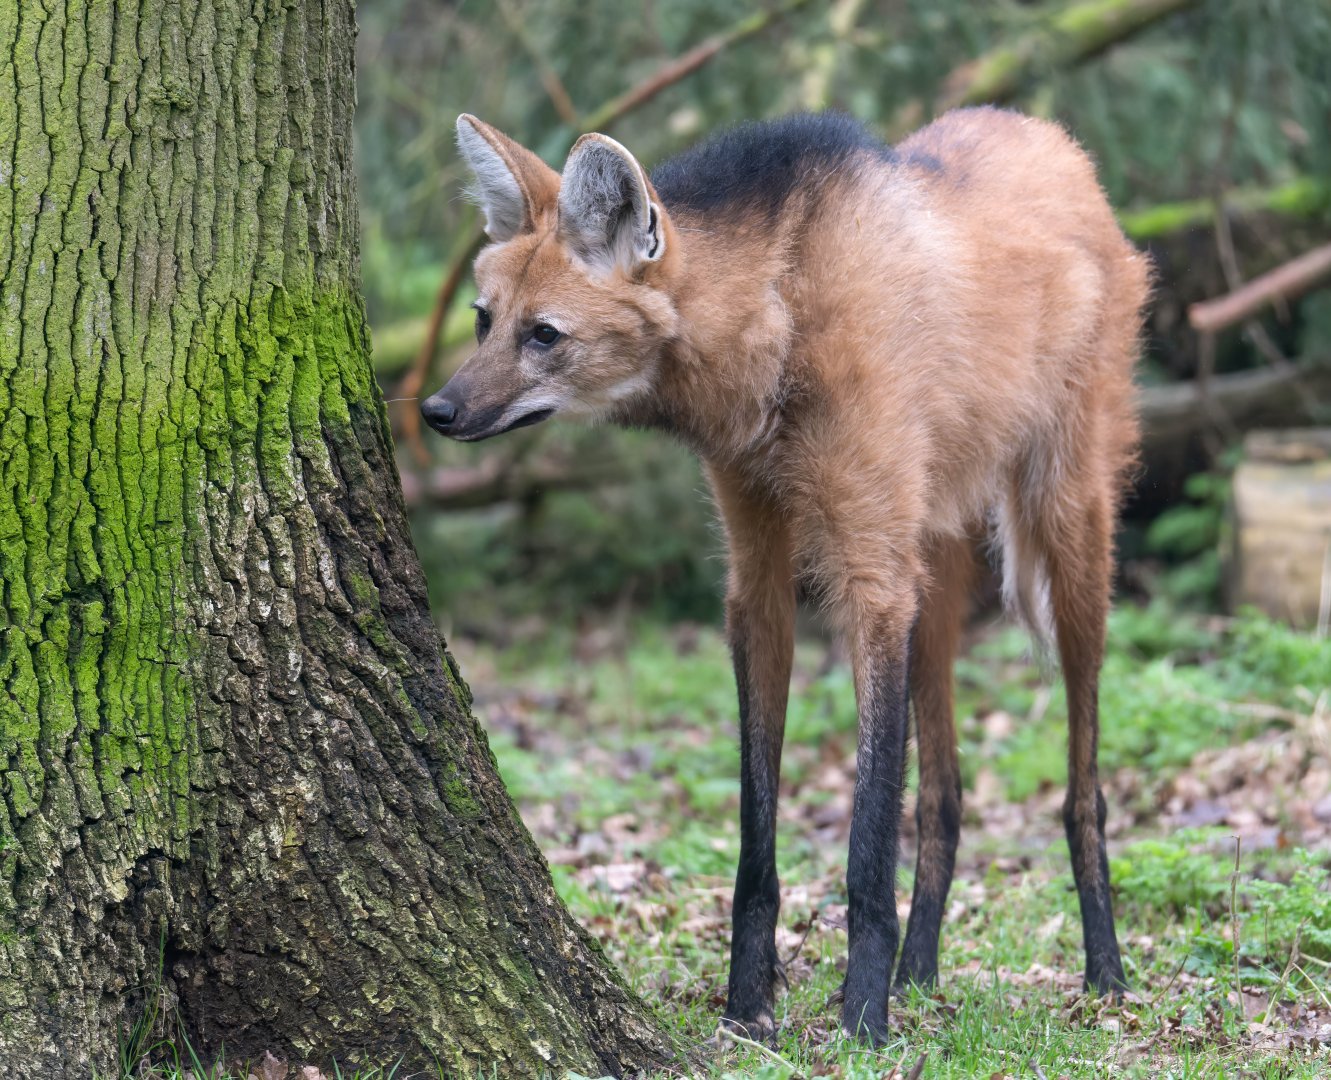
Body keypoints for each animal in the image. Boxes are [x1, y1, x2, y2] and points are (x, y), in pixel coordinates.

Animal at [422, 109, 1148, 1044]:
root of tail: (1050, 136)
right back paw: (921, 972)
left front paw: (863, 1022)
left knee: (1080, 779)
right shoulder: (759, 580)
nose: (437, 411)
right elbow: (756, 829)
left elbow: (867, 835)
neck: (781, 315)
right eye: (483, 321)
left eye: (543, 334)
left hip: (1068, 532)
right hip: (934, 561)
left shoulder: (871, 581)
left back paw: (1103, 974)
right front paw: (747, 1010)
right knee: (942, 792)